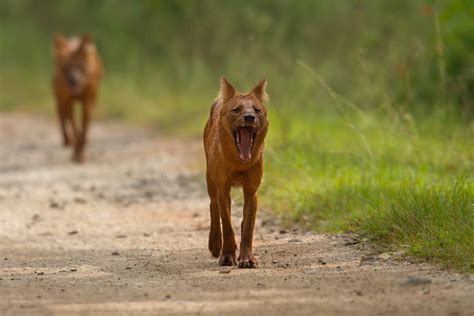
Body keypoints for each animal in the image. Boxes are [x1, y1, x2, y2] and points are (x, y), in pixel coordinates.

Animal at [52, 33, 103, 163]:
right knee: (62, 115)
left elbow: (84, 131)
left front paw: (80, 154)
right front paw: (76, 149)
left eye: (80, 66)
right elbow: (75, 128)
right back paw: (67, 140)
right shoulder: (67, 100)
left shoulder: (88, 103)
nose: (72, 80)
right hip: (59, 97)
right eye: (65, 67)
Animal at [205, 78, 270, 268]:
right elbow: (227, 225)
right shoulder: (223, 188)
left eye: (257, 110)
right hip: (210, 181)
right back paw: (215, 244)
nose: (249, 117)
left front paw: (247, 258)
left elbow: (248, 226)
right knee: (213, 207)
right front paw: (227, 255)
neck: (238, 164)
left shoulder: (252, 191)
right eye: (236, 110)